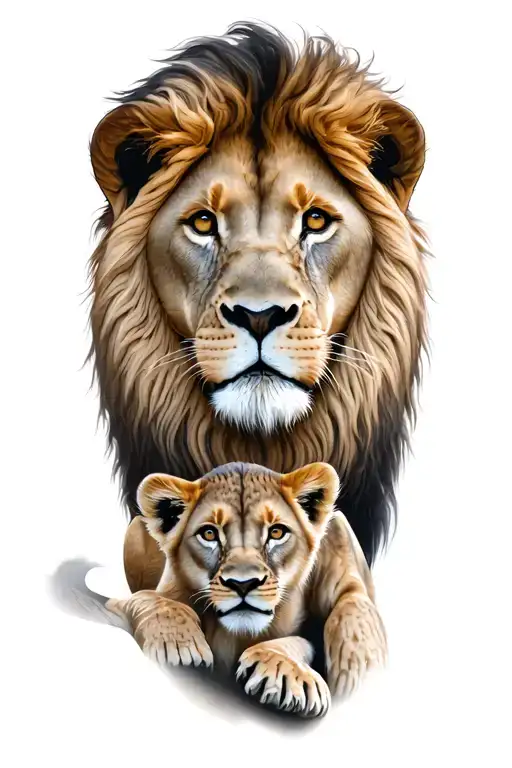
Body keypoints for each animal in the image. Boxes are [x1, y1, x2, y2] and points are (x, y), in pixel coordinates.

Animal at [106, 461, 387, 718]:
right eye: (209, 534)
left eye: (277, 532)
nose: (243, 584)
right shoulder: (131, 599)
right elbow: (148, 599)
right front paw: (176, 643)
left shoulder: (344, 564)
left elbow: (353, 616)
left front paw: (285, 670)